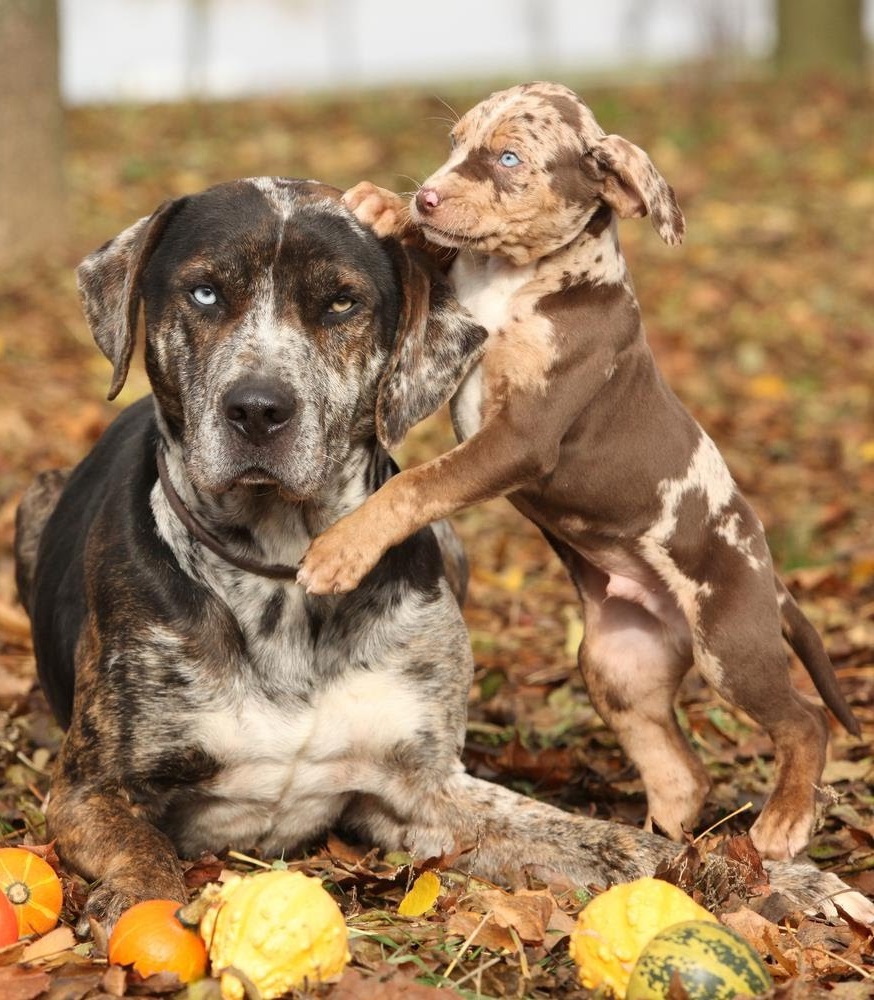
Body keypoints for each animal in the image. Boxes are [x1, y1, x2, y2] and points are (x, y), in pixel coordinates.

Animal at [300, 84, 860, 868]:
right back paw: (658, 851)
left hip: (731, 647)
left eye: (509, 158)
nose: (428, 196)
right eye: (456, 141)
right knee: (681, 772)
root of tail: (771, 577)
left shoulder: (523, 437)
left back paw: (782, 821)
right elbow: (438, 259)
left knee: (805, 720)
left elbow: (413, 486)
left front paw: (339, 552)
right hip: (616, 664)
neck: (513, 279)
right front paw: (384, 207)